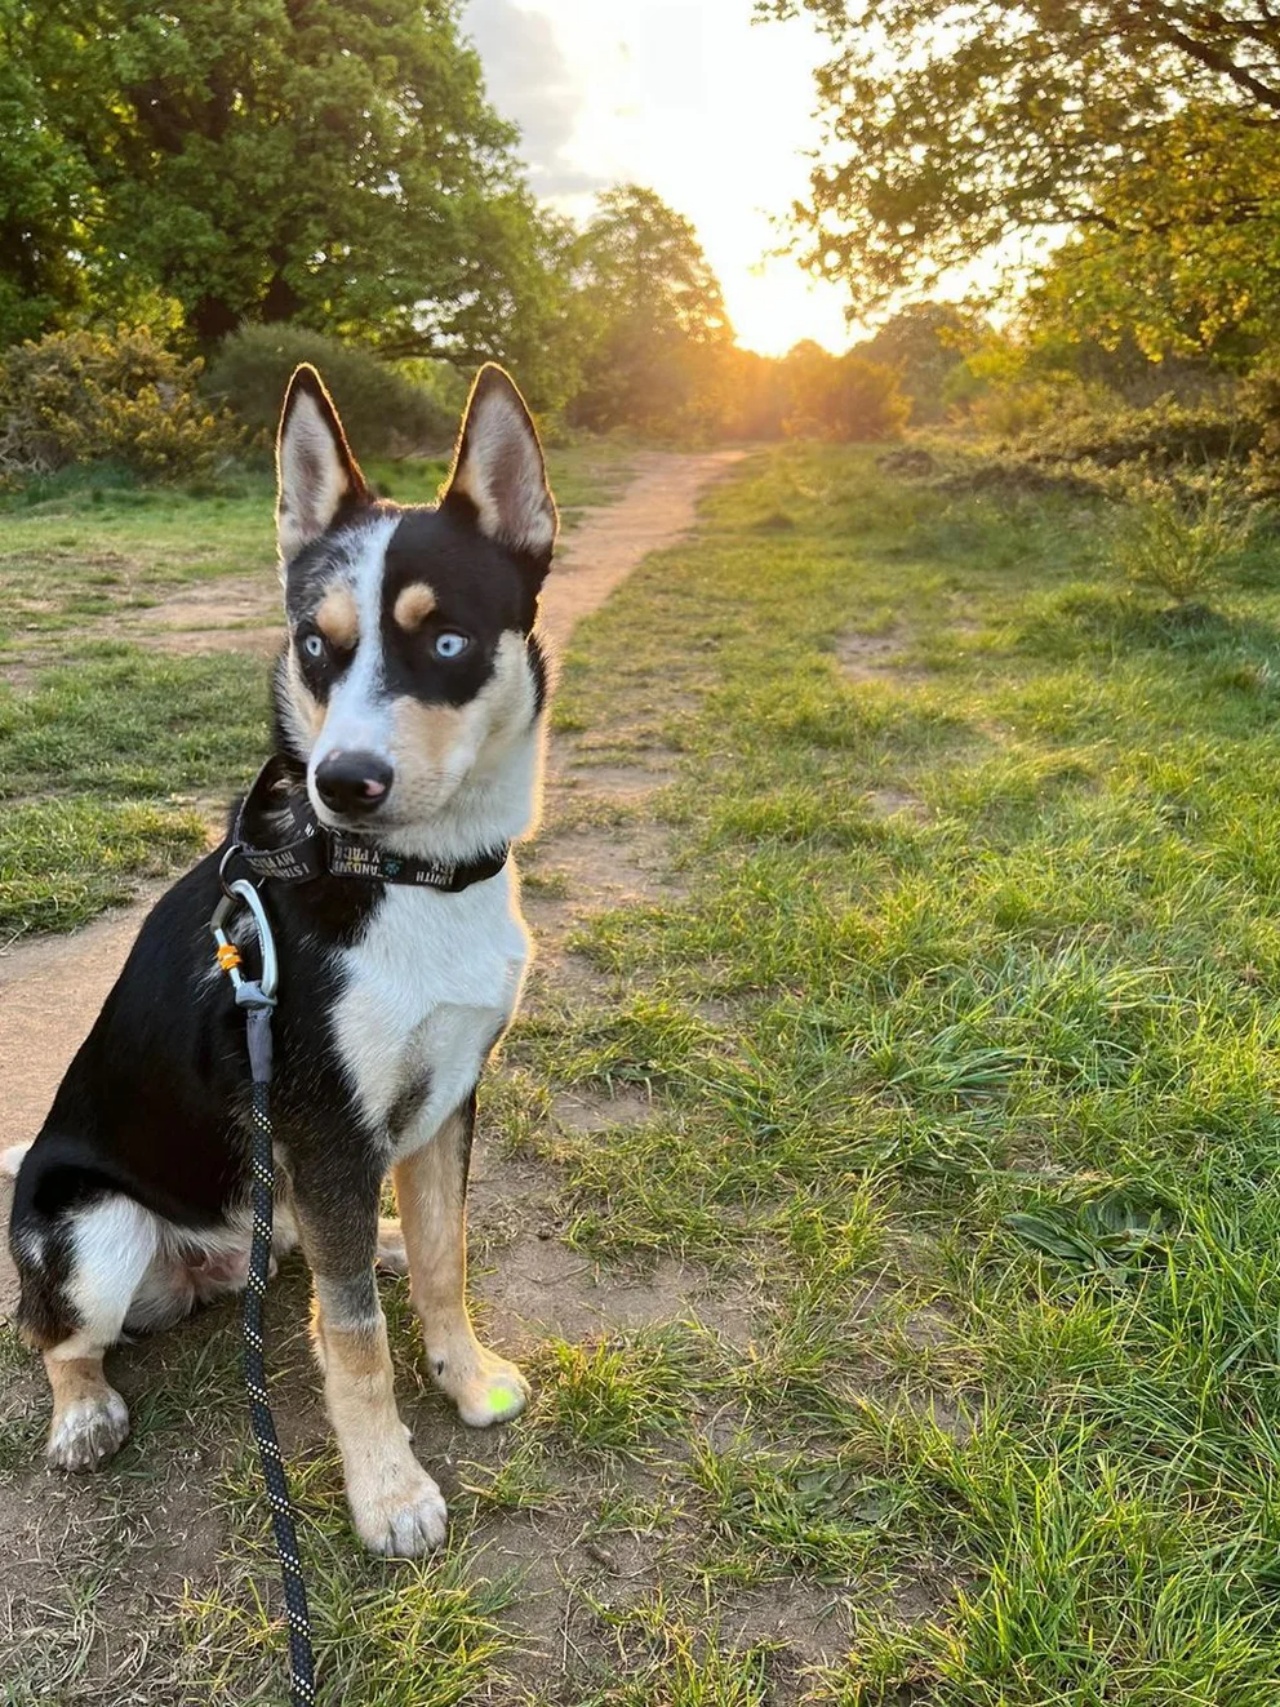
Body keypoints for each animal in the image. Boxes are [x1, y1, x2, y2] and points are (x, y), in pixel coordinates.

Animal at [3, 363, 556, 1563]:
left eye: (446, 643)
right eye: (315, 644)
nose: (342, 781)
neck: (409, 877)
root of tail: (208, 1266)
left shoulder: (447, 1100)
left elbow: (443, 1261)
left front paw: (465, 1376)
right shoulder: (327, 1122)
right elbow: (350, 1337)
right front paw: (388, 1491)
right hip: (94, 1229)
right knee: (50, 1333)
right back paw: (83, 1413)